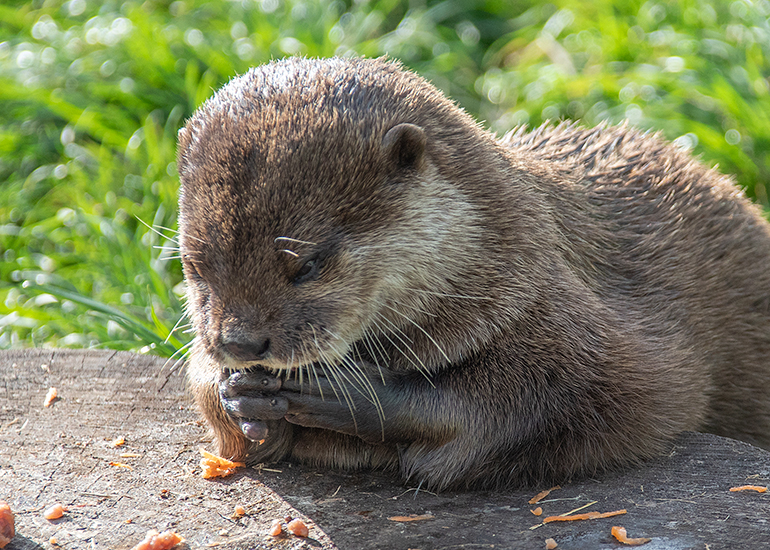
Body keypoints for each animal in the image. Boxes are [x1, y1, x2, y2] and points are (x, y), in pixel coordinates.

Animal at [176, 56, 770, 491]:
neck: (508, 258)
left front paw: (358, 396)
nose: (241, 343)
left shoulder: (578, 321)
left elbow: (585, 397)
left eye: (308, 263)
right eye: (196, 264)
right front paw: (235, 392)